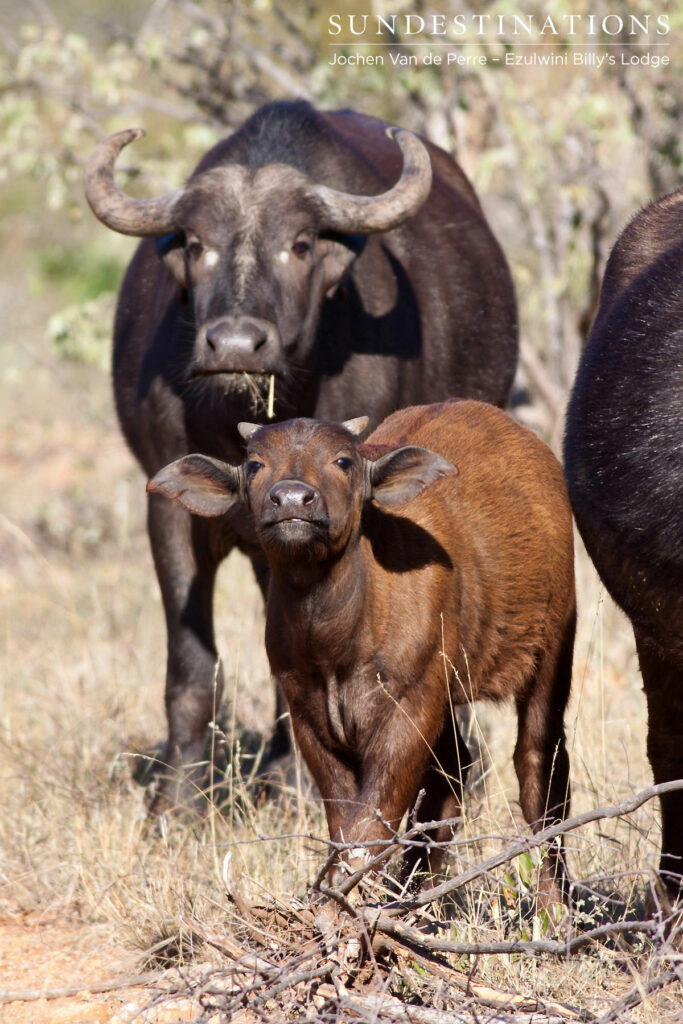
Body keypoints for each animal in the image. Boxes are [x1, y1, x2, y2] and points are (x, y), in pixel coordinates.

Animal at [85, 100, 518, 811]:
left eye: (302, 244)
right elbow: (192, 667)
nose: (236, 344)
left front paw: (296, 786)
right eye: (197, 245)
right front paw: (178, 800)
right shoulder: (169, 512)